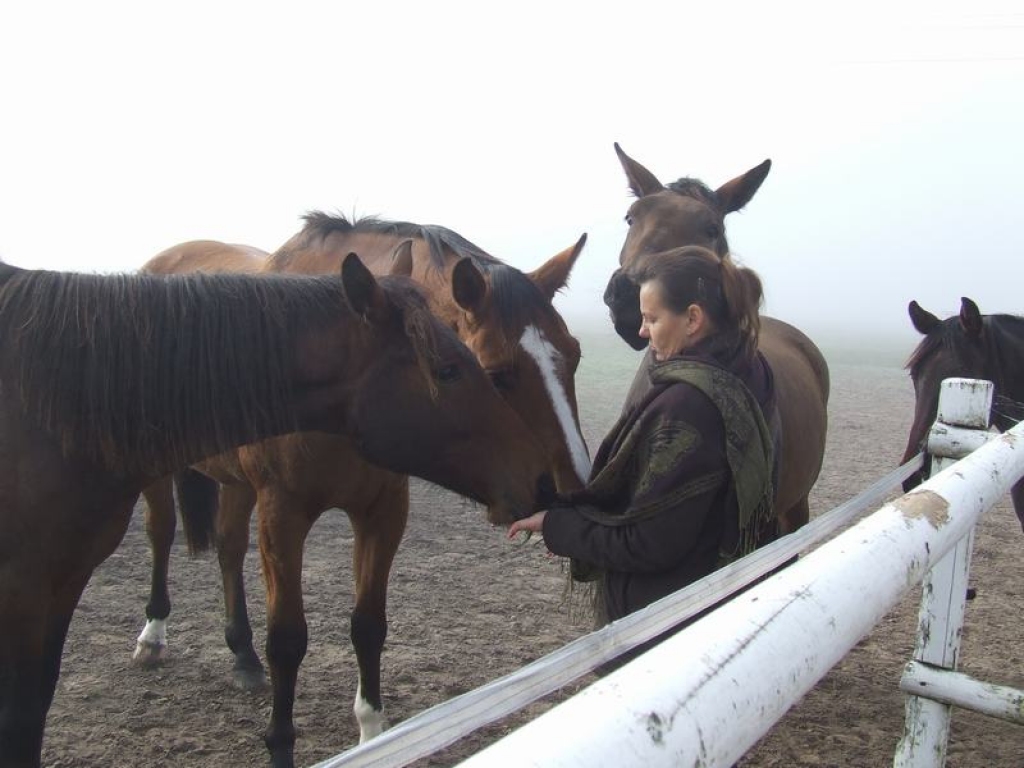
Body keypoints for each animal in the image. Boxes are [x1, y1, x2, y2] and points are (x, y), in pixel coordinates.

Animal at [134, 218, 593, 768]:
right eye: (497, 373)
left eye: (574, 356)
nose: (568, 491)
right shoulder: (283, 512)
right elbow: (287, 638)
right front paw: (280, 745)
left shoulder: (383, 511)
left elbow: (368, 625)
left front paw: (374, 735)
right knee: (162, 534)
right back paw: (153, 634)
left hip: (237, 483)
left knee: (228, 548)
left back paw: (242, 656)